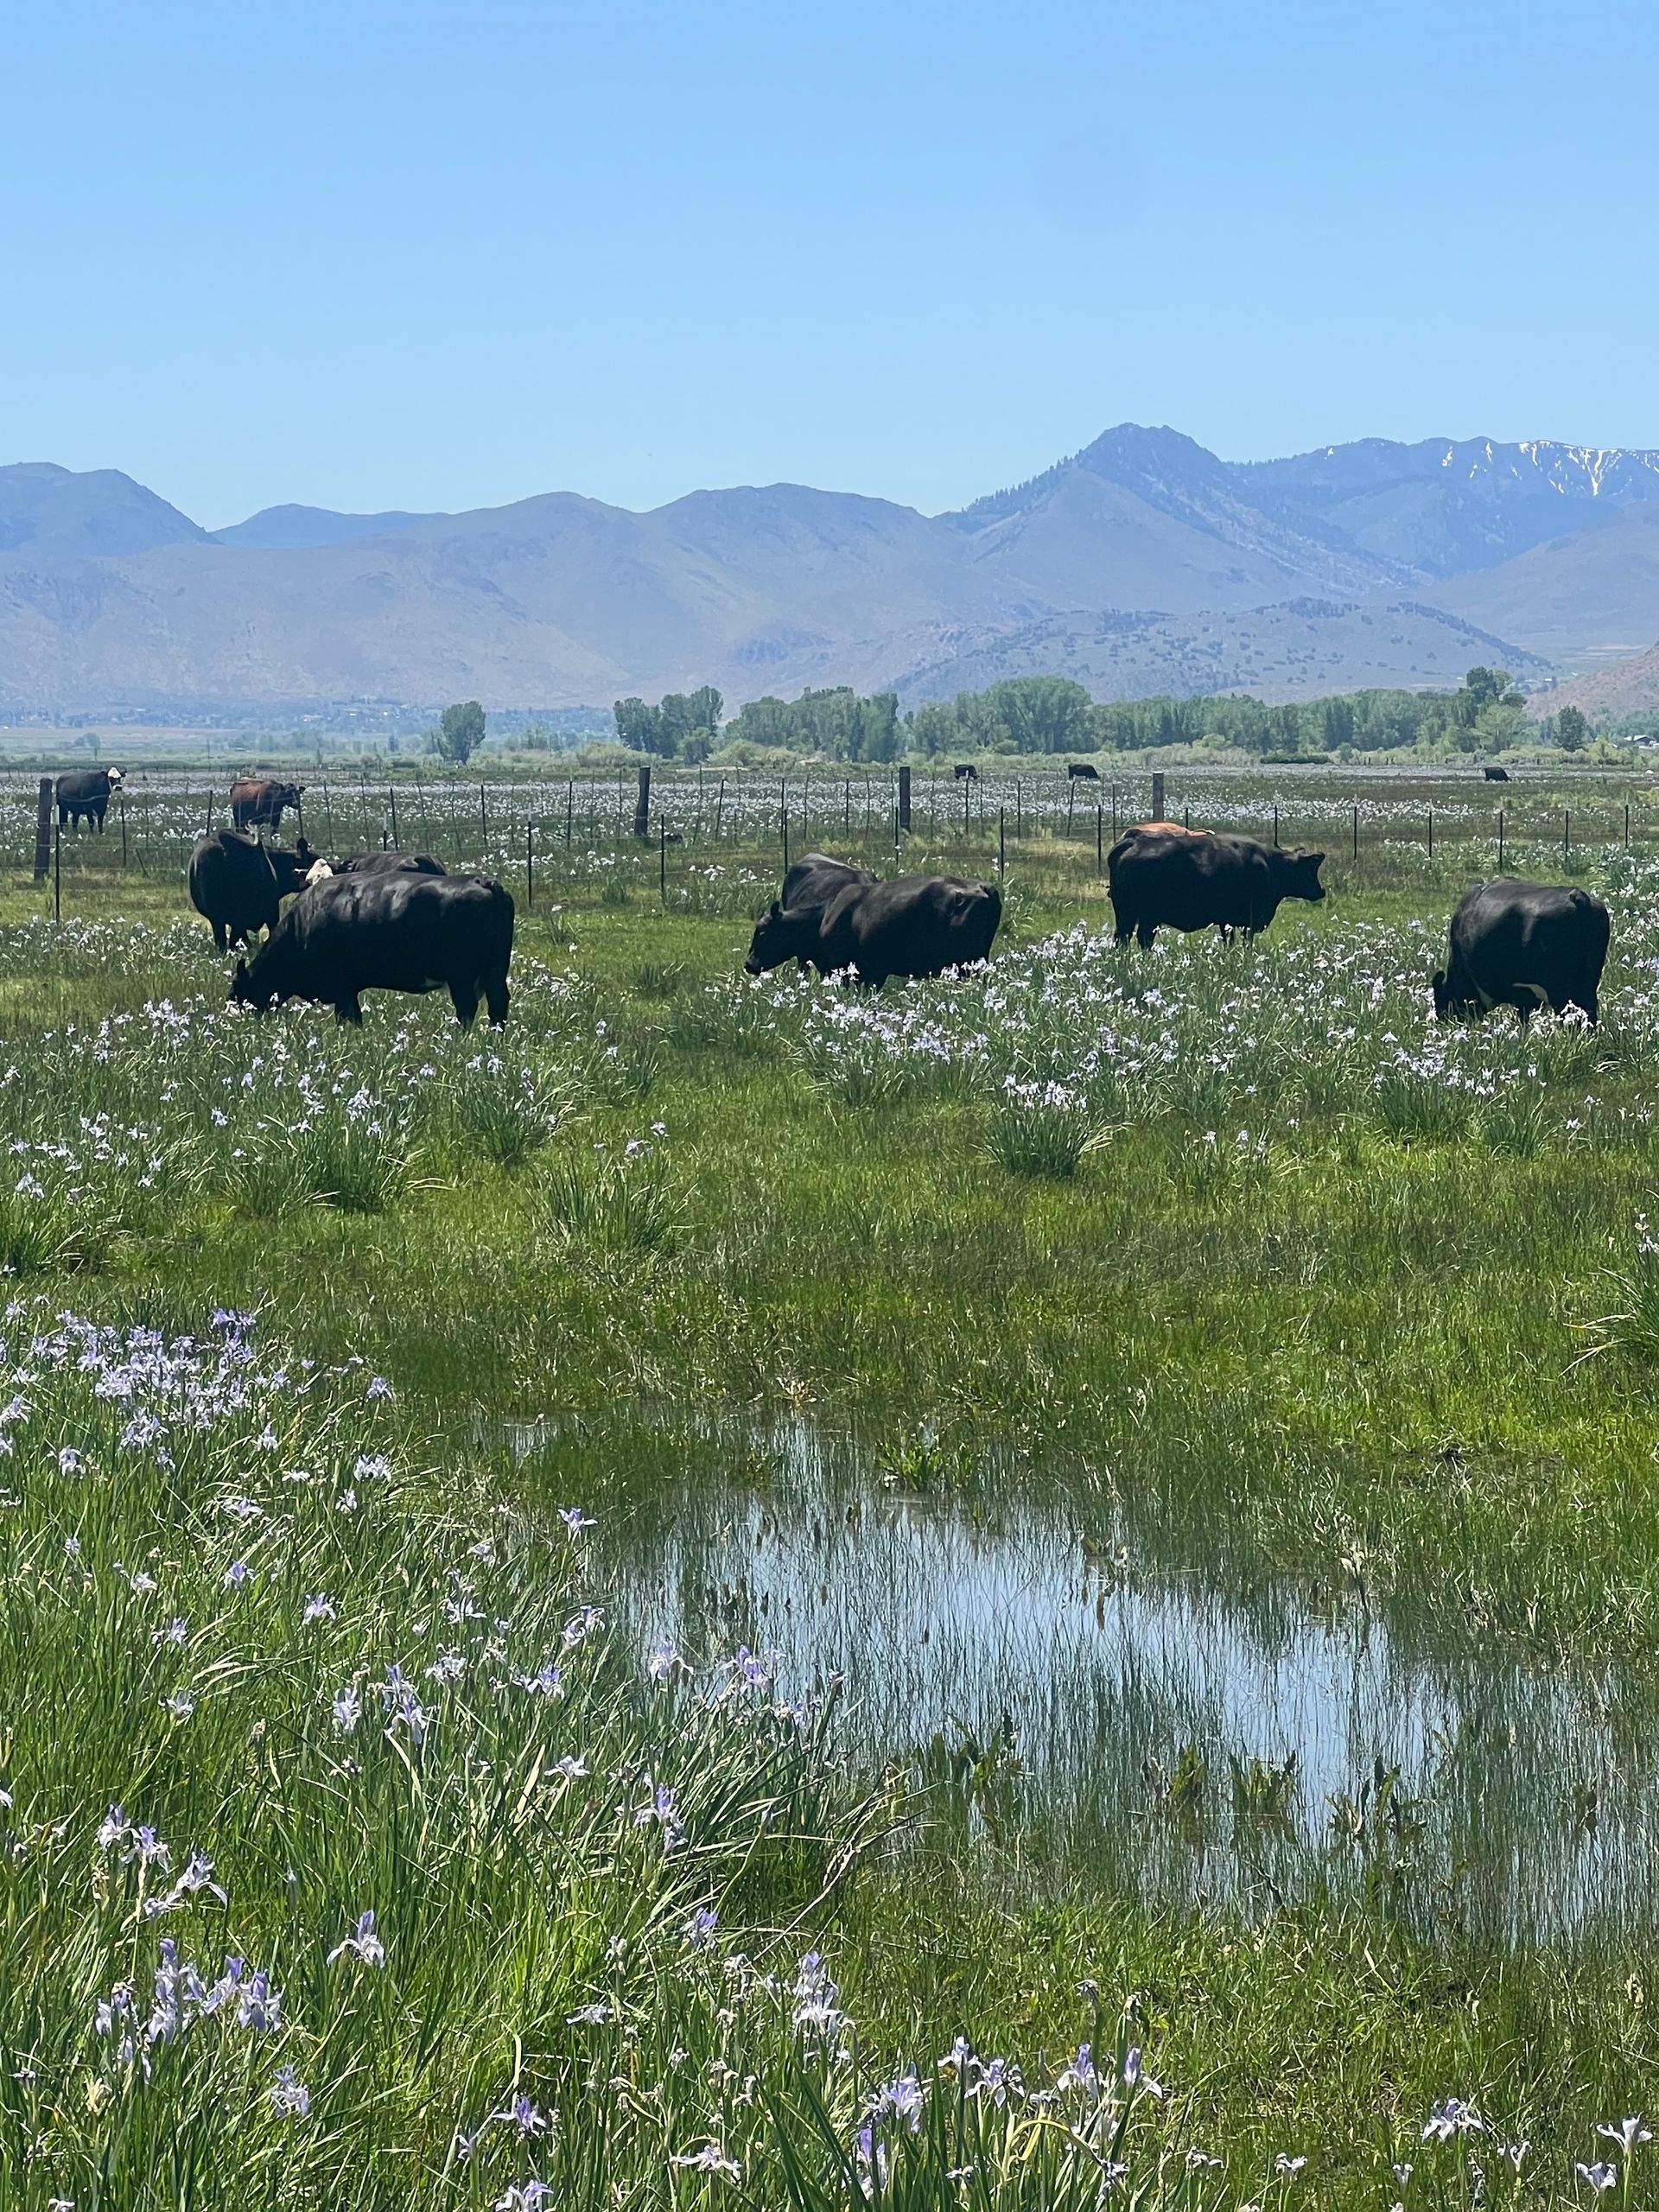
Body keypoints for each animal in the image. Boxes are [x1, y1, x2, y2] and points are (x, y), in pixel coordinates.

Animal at [230, 870, 514, 1026]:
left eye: (239, 989)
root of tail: (480, 881)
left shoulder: (341, 987)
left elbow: (349, 1018)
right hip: (494, 973)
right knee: (498, 1005)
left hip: (461, 977)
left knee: (467, 1009)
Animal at [745, 875, 1001, 988]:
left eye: (762, 932)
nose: (748, 964)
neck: (825, 917)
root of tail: (982, 886)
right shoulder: (875, 973)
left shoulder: (848, 971)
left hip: (966, 965)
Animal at [1107, 825, 1325, 947]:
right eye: (1310, 870)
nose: (1321, 891)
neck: (1269, 863)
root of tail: (1135, 839)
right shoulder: (1249, 919)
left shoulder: (1226, 920)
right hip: (1147, 916)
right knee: (1142, 939)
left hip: (1126, 914)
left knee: (1122, 939)